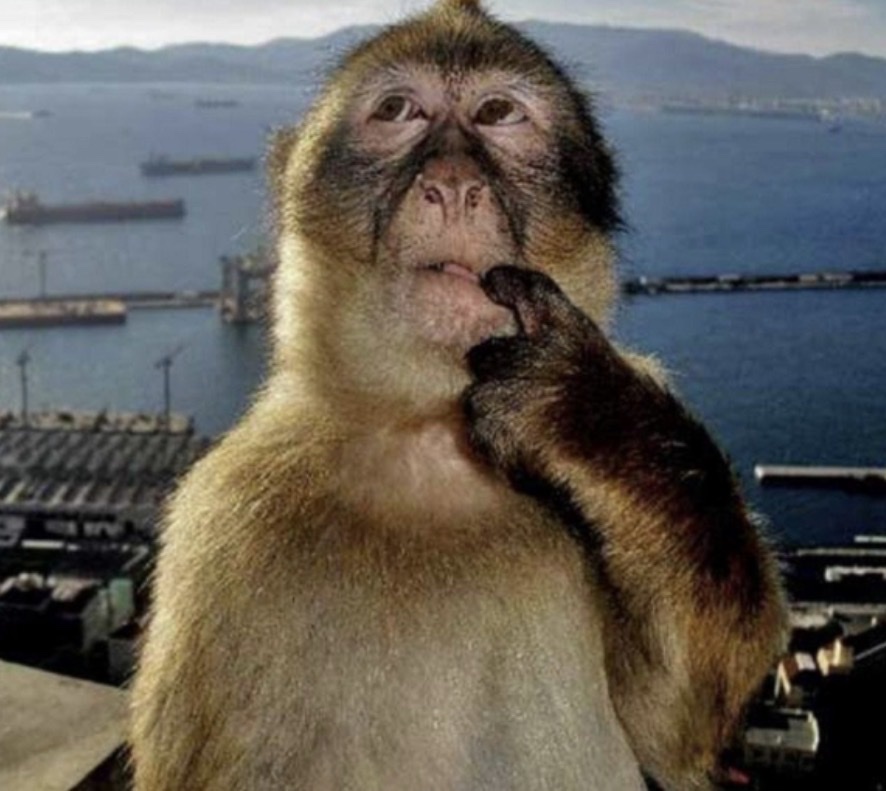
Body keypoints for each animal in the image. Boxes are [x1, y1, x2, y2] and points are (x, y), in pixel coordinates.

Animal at [130, 1, 786, 789]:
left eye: (498, 112)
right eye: (397, 111)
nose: (450, 183)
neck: (431, 439)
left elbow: (677, 726)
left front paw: (586, 411)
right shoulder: (222, 525)